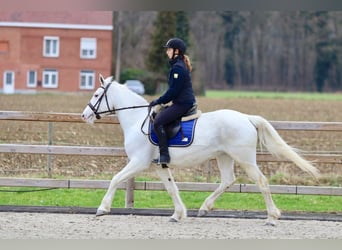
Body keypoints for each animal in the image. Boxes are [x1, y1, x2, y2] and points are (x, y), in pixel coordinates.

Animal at [81, 73, 320, 225]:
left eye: (96, 95)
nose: (85, 115)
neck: (136, 118)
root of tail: (246, 118)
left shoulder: (138, 162)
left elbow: (115, 179)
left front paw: (102, 209)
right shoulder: (159, 165)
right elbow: (172, 188)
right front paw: (178, 214)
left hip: (245, 159)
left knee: (261, 182)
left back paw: (272, 217)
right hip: (224, 157)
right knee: (228, 180)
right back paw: (205, 207)